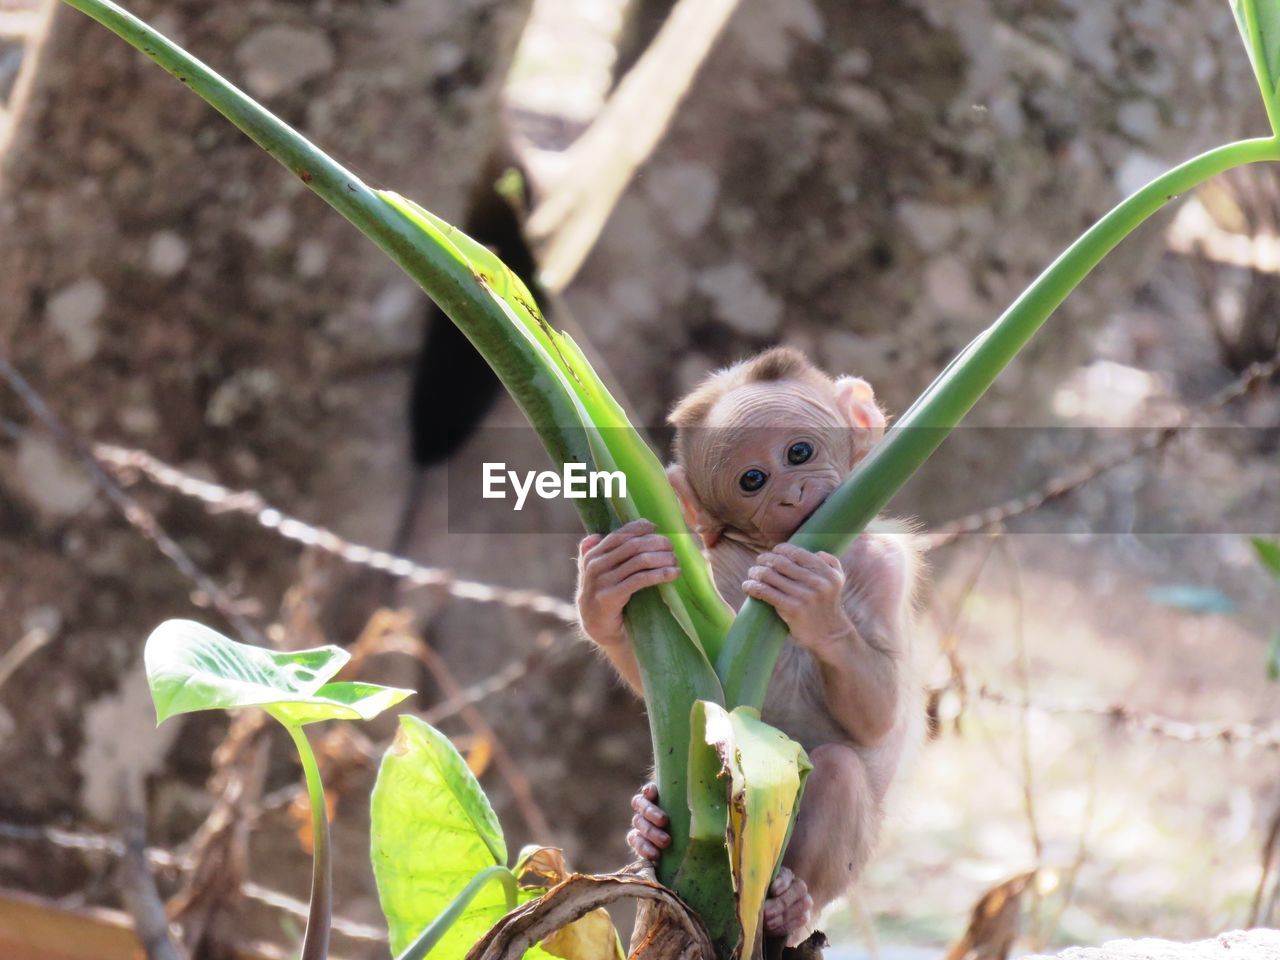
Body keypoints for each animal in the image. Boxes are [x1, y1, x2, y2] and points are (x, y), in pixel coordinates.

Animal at [578, 345, 921, 942]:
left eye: (799, 452)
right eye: (752, 480)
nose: (791, 494)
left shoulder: (886, 567)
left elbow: (879, 715)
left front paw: (815, 604)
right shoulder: (713, 568)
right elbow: (663, 653)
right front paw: (605, 586)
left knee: (837, 772)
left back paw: (792, 904)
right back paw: (648, 827)